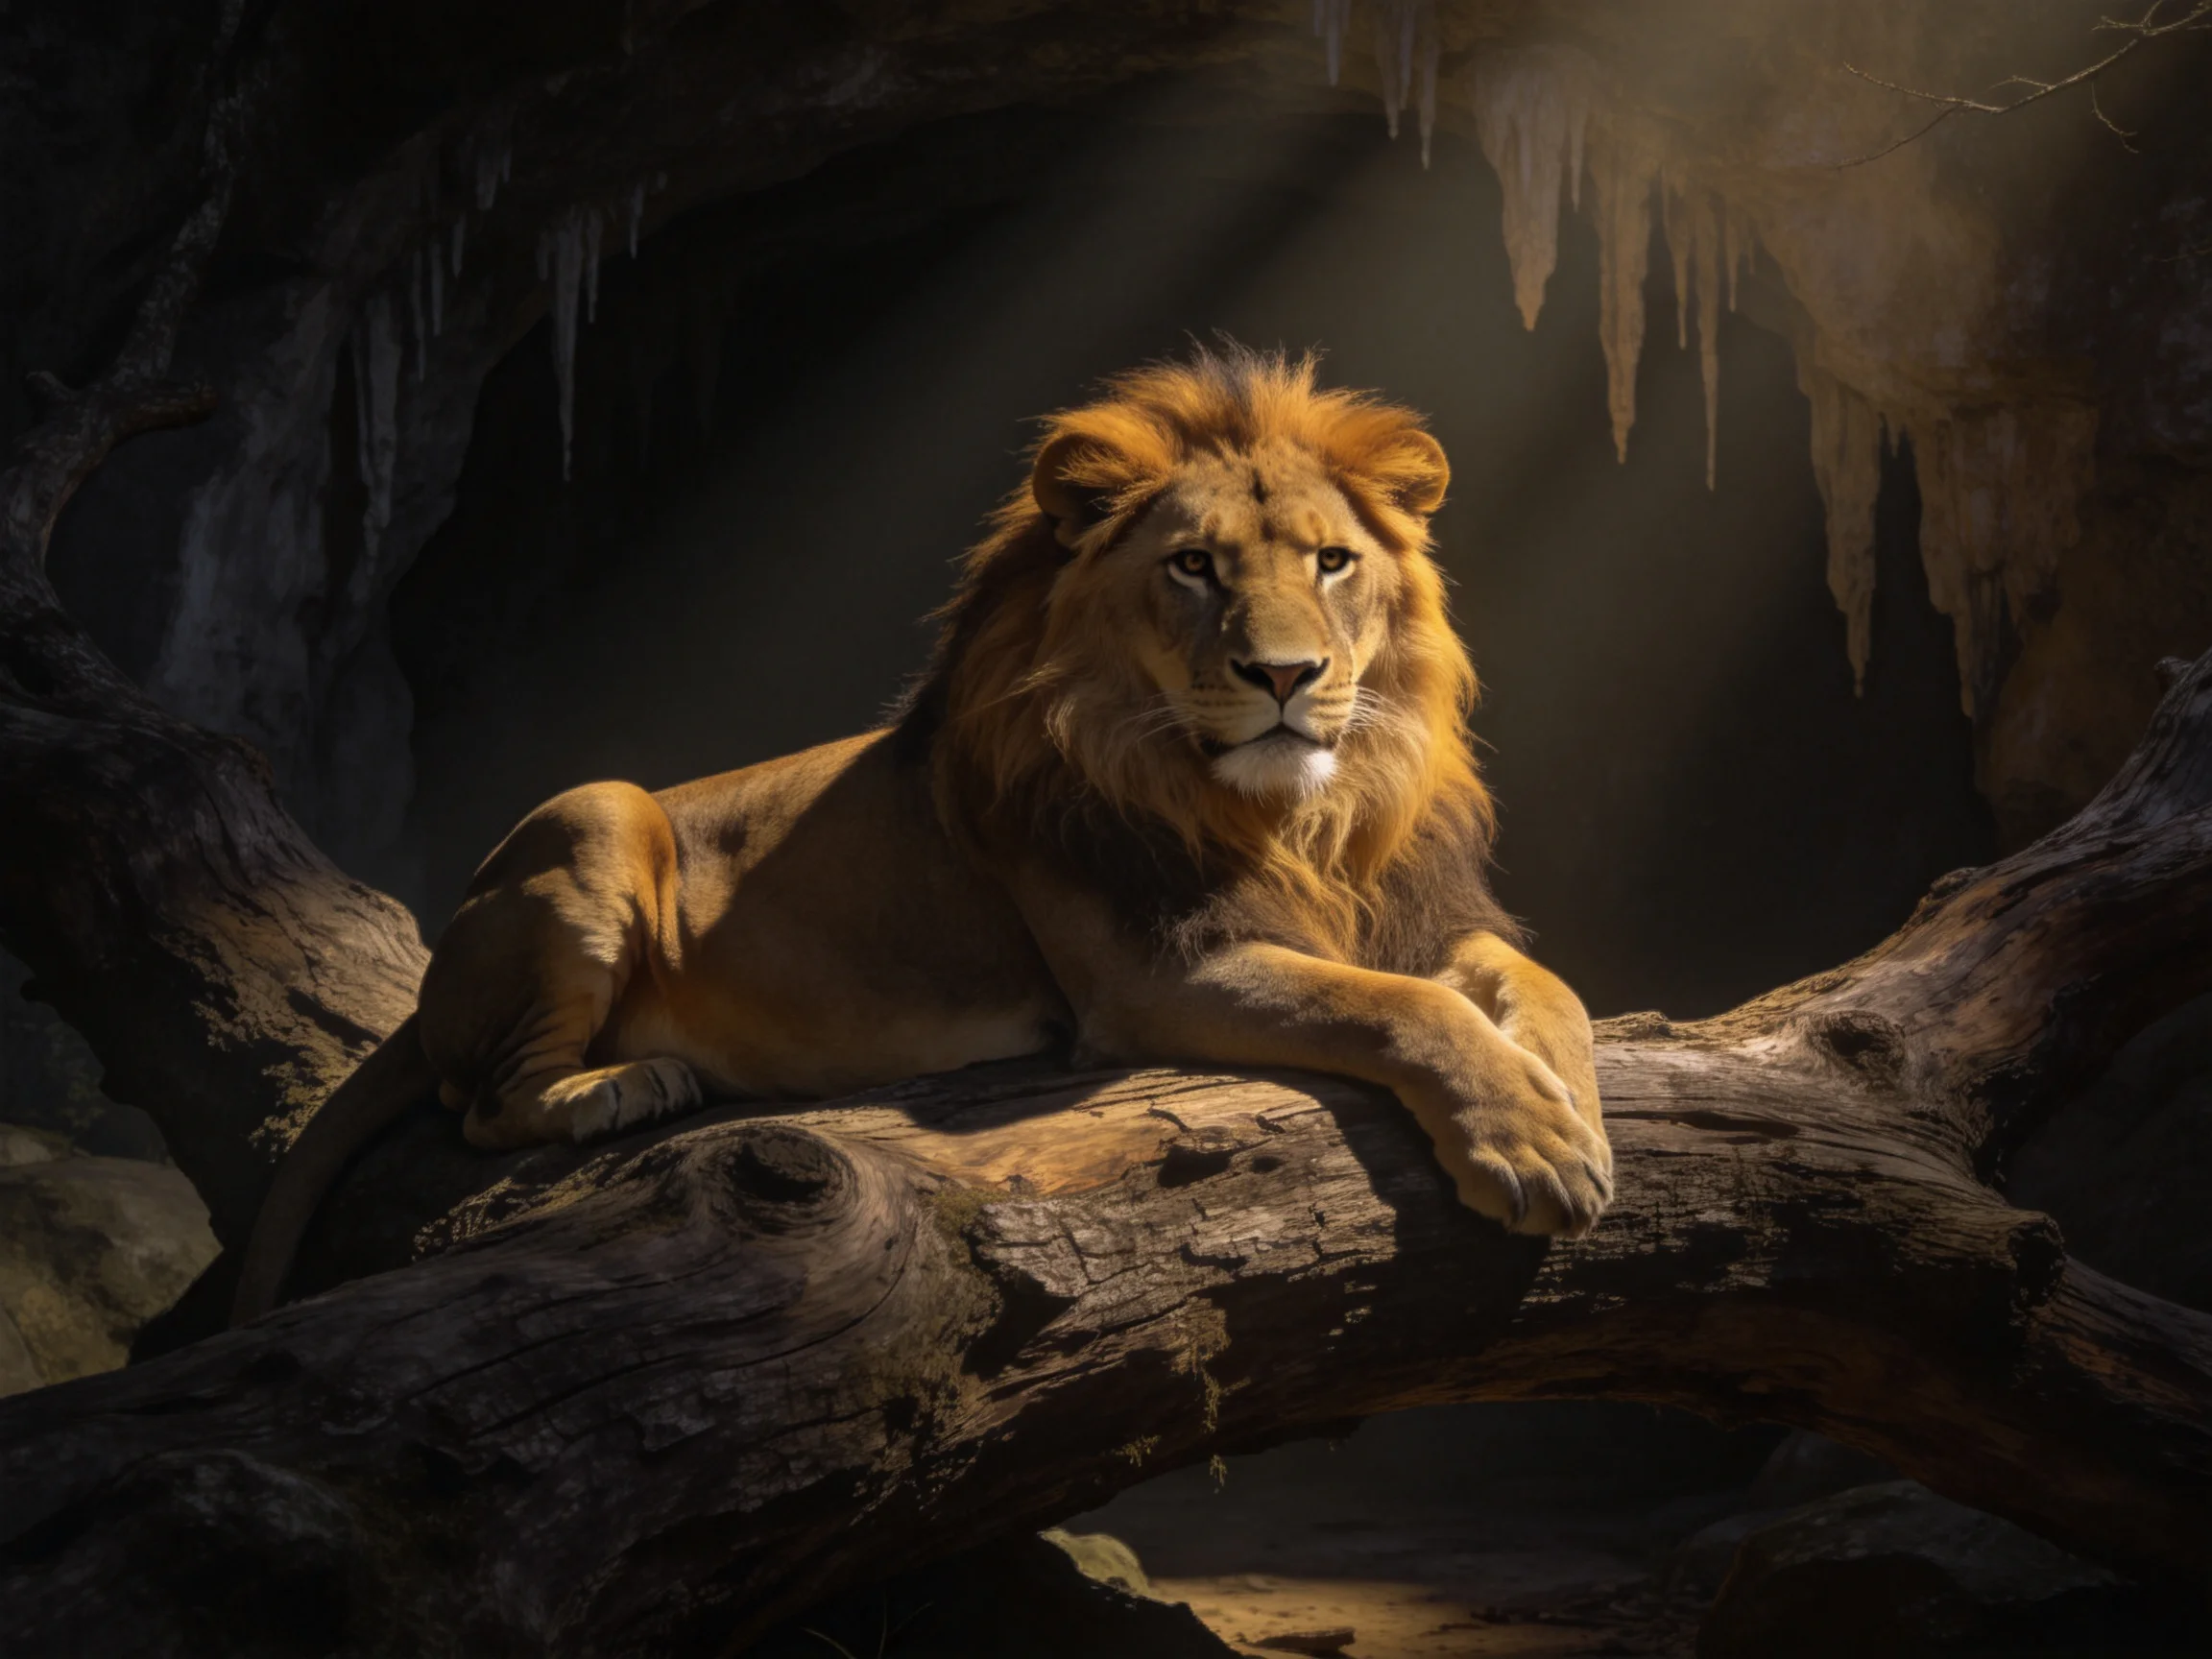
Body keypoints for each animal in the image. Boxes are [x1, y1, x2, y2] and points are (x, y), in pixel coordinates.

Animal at [232, 344, 1610, 1321]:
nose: (1285, 676)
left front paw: (1569, 1109)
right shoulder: (1154, 976)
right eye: (1195, 567)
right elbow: (1395, 1006)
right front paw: (1531, 1143)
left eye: (1330, 561)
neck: (1296, 812)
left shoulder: (1417, 913)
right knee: (478, 1106)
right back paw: (618, 1085)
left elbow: (1545, 988)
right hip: (598, 811)